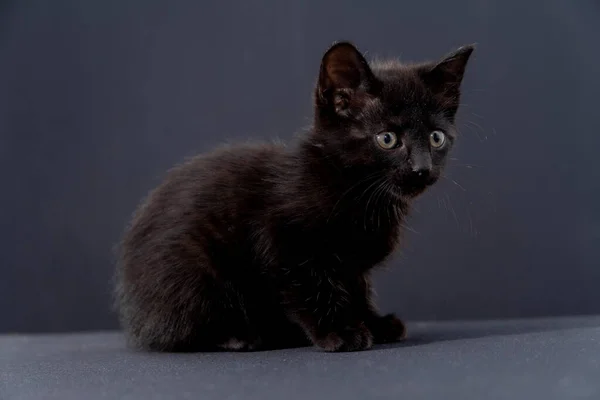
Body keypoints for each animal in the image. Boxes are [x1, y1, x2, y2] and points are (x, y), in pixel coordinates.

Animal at [115, 41, 476, 354]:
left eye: (436, 138)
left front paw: (374, 323)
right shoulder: (284, 241)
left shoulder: (352, 265)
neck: (353, 189)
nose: (422, 169)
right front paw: (341, 332)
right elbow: (312, 288)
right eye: (387, 139)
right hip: (194, 271)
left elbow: (357, 288)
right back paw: (238, 336)